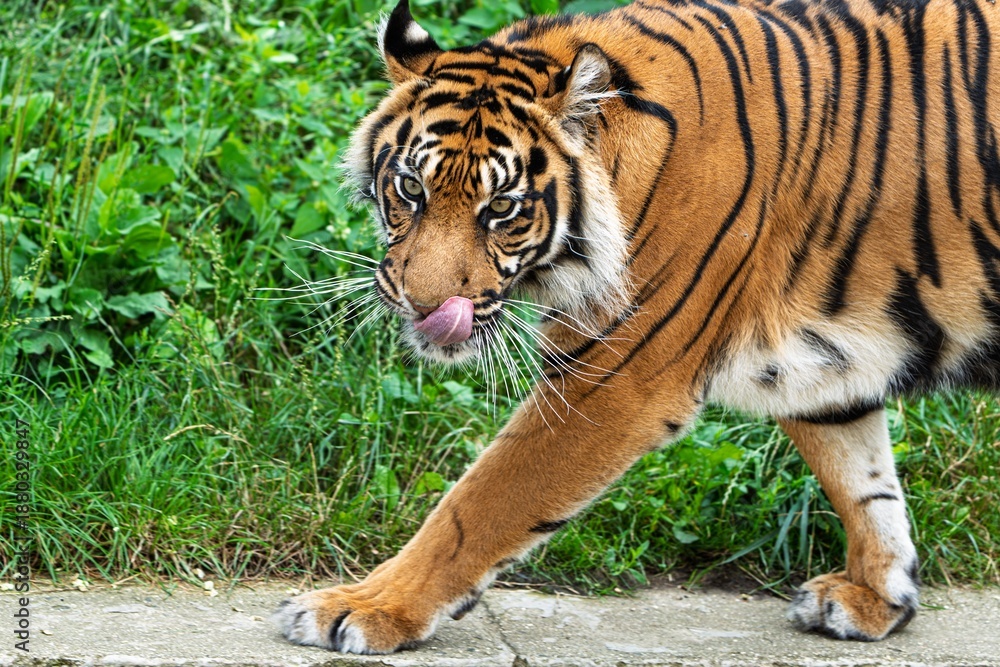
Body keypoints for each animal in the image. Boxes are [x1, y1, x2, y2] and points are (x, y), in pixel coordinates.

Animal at [273, 0, 1000, 652]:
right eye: (410, 188)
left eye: (501, 207)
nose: (424, 306)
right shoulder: (822, 367)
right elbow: (864, 482)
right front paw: (881, 597)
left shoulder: (615, 377)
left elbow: (478, 504)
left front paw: (364, 608)